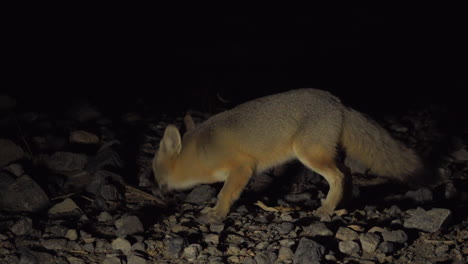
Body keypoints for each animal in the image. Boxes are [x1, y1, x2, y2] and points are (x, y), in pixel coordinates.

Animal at [153, 88, 424, 223]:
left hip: (309, 154)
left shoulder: (243, 166)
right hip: (324, 153)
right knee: (346, 173)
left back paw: (326, 209)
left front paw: (218, 213)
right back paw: (341, 204)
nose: (159, 192)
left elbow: (225, 193)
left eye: (156, 172)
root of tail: (336, 101)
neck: (200, 150)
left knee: (338, 176)